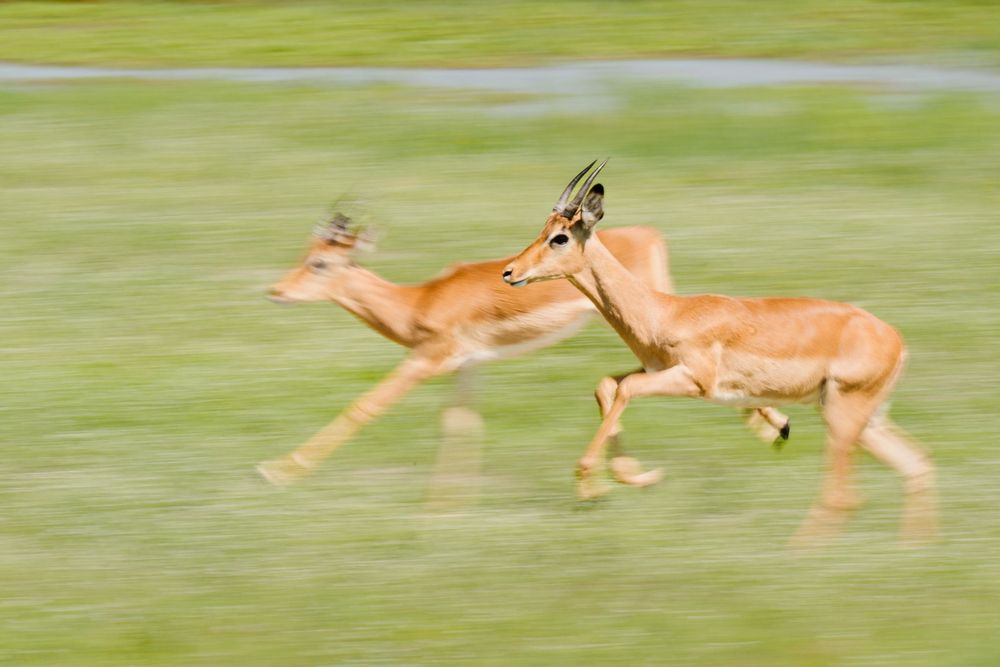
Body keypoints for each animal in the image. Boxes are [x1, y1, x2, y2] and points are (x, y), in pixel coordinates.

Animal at [258, 212, 791, 489]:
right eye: (305, 253)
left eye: (321, 263)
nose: (277, 291)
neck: (418, 302)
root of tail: (648, 234)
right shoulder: (468, 367)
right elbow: (461, 426)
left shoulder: (426, 361)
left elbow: (363, 407)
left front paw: (277, 471)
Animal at [502, 161, 937, 542]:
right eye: (544, 229)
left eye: (560, 237)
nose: (510, 272)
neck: (665, 311)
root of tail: (894, 339)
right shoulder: (654, 369)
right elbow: (607, 384)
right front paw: (634, 477)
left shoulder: (695, 382)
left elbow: (623, 390)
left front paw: (594, 485)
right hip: (867, 420)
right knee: (917, 464)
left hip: (843, 417)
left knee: (843, 496)